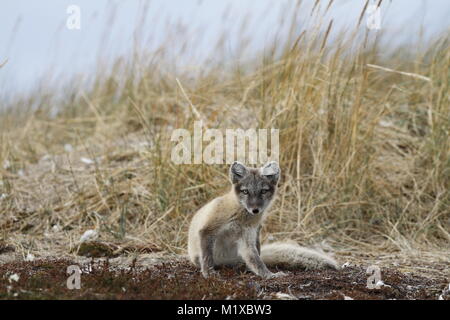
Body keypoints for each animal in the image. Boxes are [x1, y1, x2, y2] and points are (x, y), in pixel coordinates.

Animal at [186, 161, 338, 278]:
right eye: (245, 191)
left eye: (263, 191)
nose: (255, 210)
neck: (241, 218)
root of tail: (226, 260)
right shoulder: (208, 229)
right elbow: (207, 257)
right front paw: (208, 273)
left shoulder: (248, 236)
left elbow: (256, 261)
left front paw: (268, 275)